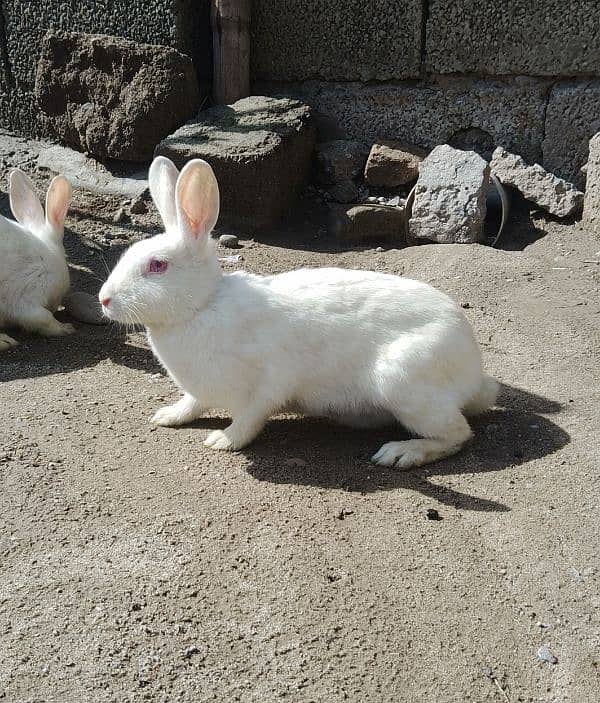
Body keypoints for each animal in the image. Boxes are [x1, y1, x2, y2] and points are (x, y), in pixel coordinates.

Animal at [101, 157, 500, 470]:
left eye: (157, 266)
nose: (104, 299)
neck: (202, 305)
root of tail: (472, 371)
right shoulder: (200, 390)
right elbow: (191, 404)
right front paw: (166, 416)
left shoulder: (266, 385)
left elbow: (249, 420)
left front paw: (222, 440)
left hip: (404, 382)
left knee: (458, 434)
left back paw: (400, 453)